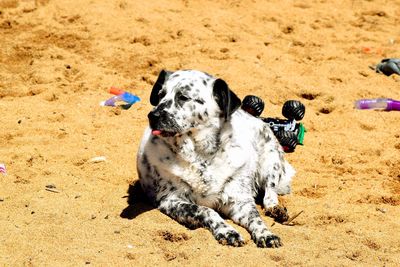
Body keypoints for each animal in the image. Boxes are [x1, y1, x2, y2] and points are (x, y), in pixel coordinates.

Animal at [136, 69, 296, 249]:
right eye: (160, 95)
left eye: (183, 97)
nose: (152, 115)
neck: (201, 156)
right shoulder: (170, 200)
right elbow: (205, 210)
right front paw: (227, 231)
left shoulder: (240, 200)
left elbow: (256, 218)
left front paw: (266, 234)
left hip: (270, 159)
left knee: (270, 190)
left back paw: (275, 209)